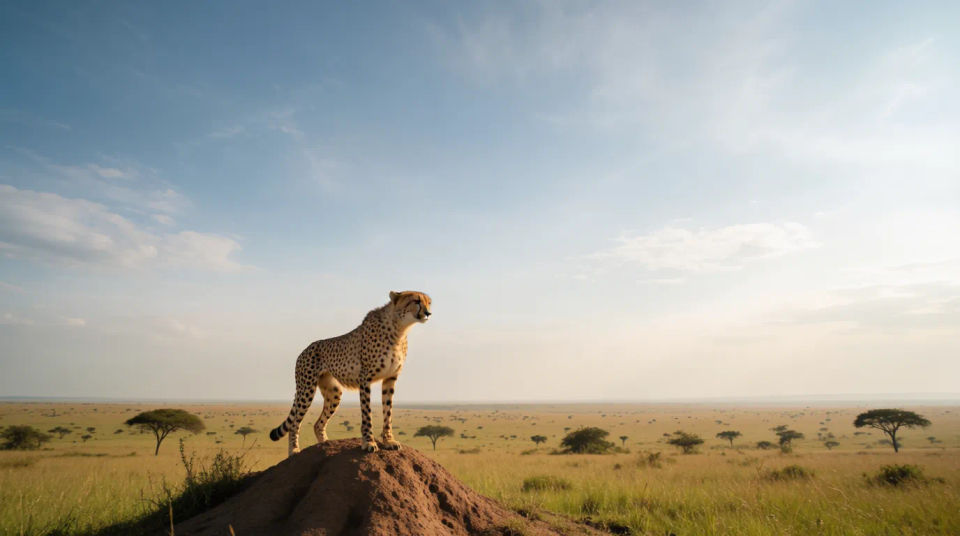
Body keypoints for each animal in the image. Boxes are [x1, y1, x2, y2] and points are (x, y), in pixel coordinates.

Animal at [269, 290, 431, 455]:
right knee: (295, 423)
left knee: (318, 424)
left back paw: (326, 446)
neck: (399, 328)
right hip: (307, 388)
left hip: (334, 391)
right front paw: (369, 442)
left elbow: (388, 412)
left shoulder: (390, 378)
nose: (428, 313)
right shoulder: (365, 378)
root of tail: (304, 350)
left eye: (429, 302)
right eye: (416, 301)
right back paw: (294, 450)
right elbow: (367, 414)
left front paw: (389, 441)